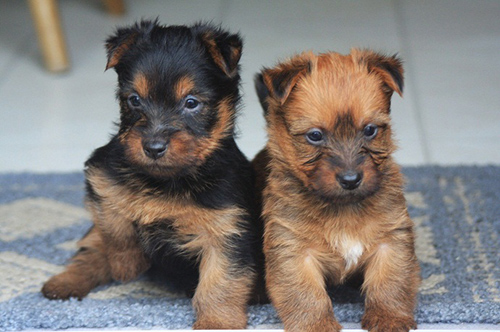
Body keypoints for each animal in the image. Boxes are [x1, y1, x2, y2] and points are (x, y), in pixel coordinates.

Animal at [254, 50, 422, 332]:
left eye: (370, 130)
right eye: (314, 135)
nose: (351, 179)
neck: (342, 207)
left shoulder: (390, 242)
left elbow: (390, 283)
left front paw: (389, 317)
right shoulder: (293, 250)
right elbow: (307, 295)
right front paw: (316, 325)